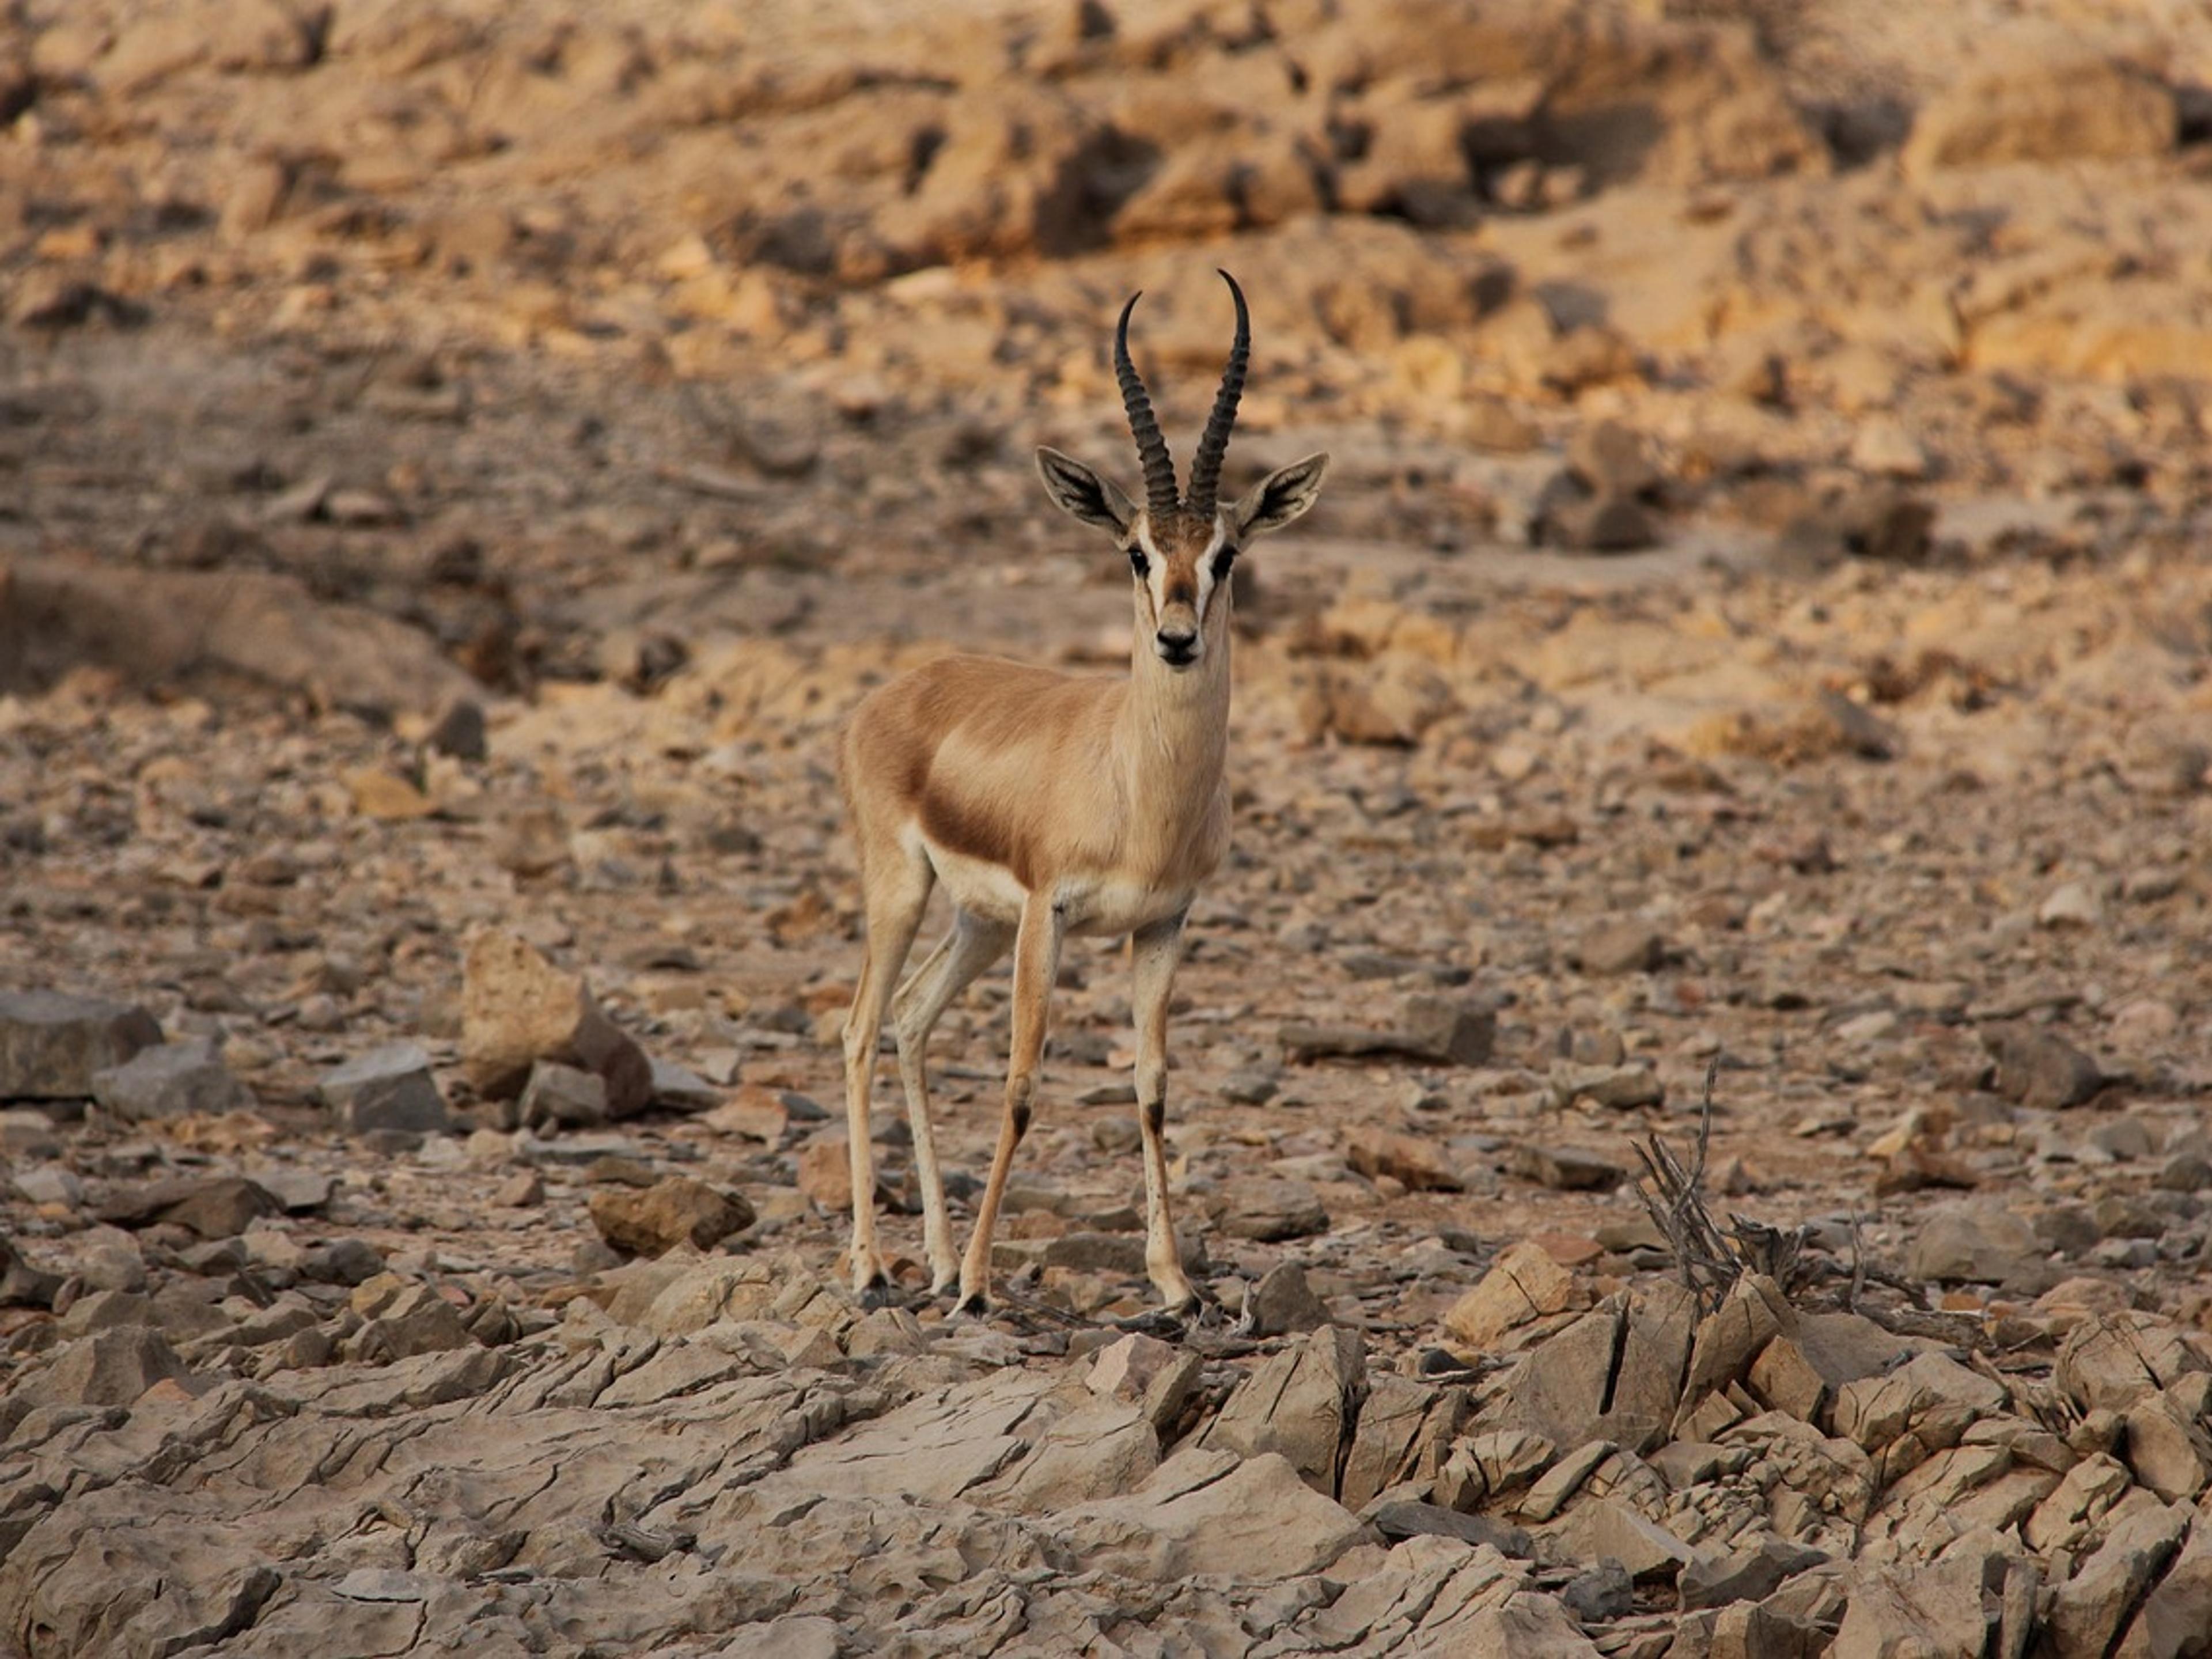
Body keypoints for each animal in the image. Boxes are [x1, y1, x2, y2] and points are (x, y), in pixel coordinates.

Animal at [837, 271, 1328, 1317]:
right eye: (1136, 552)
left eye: (1227, 554)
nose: (1178, 639)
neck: (1140, 790)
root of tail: (895, 692)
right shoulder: (1047, 915)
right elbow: (1023, 1084)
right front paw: (983, 1286)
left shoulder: (1165, 923)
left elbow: (1152, 1087)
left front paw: (1175, 1282)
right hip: (904, 890)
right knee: (859, 1029)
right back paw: (875, 1266)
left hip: (974, 923)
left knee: (909, 1019)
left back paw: (933, 1256)